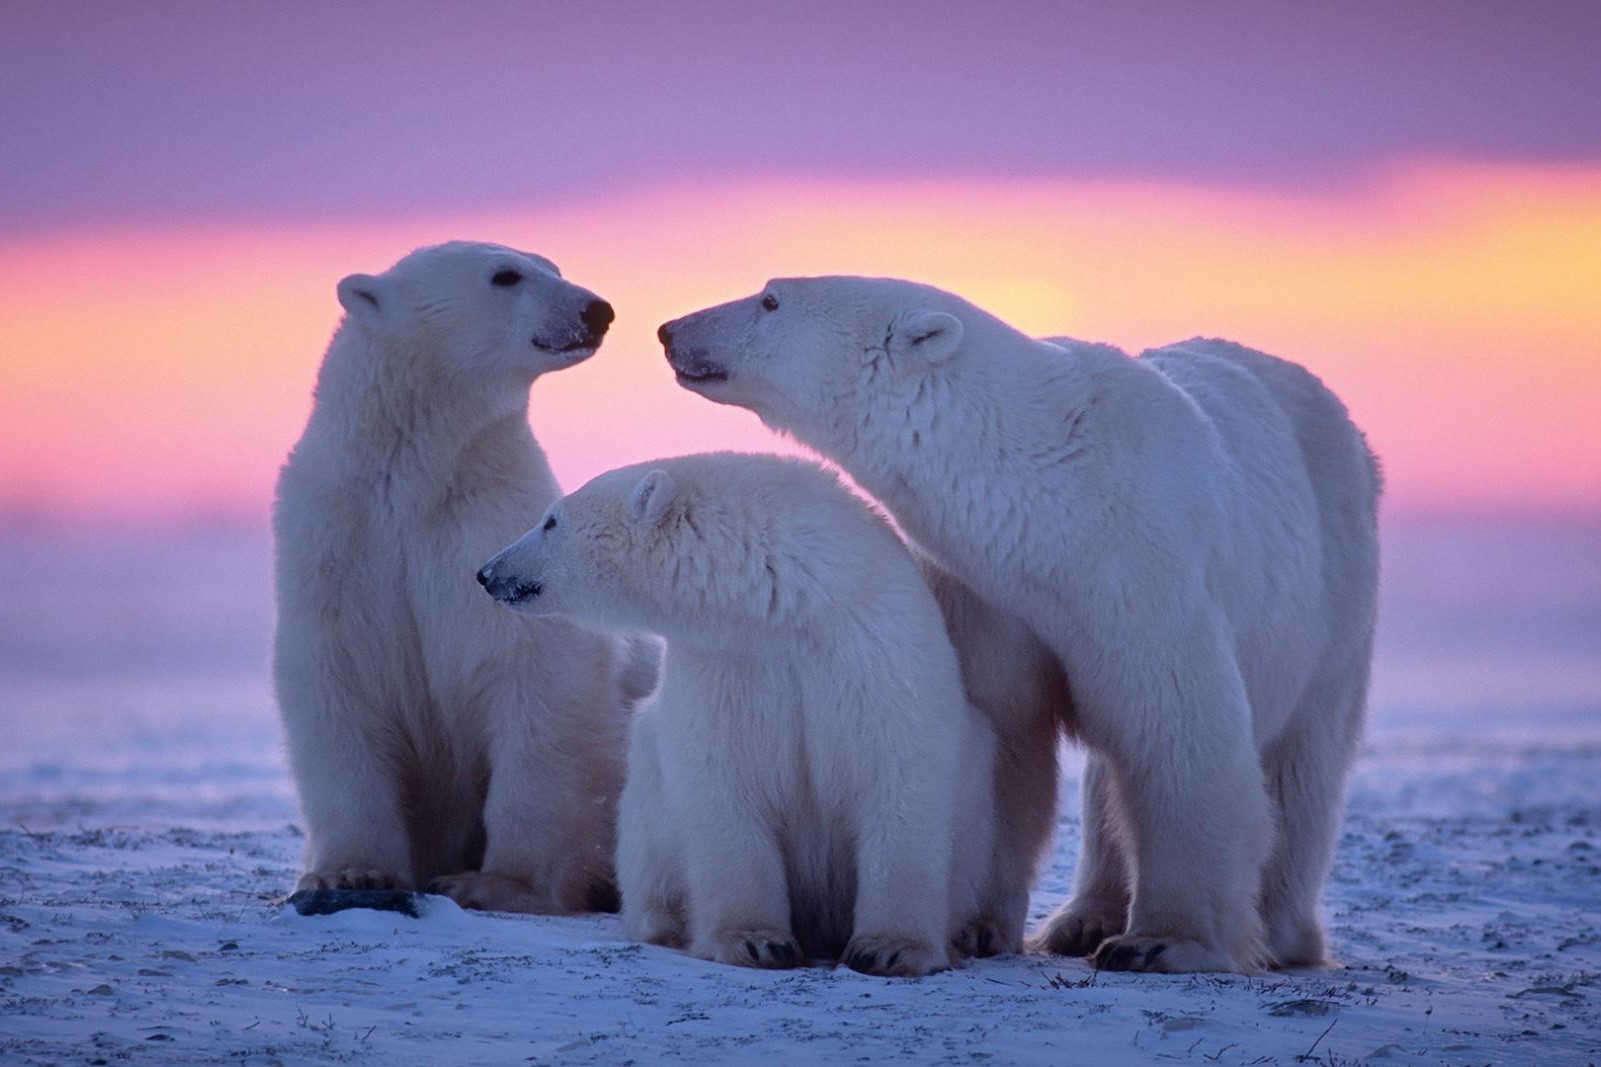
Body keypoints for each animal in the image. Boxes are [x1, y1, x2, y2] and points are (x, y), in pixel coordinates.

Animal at [272, 240, 654, 914]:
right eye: (506, 275)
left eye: (553, 267)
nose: (597, 309)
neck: (417, 479)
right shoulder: (339, 545)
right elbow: (337, 685)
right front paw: (350, 873)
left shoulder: (489, 534)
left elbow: (536, 681)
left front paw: (495, 882)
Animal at [476, 452, 1009, 976]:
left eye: (551, 520)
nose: (487, 572)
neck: (787, 602)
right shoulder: (727, 664)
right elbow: (725, 782)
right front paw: (756, 942)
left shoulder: (872, 646)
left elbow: (898, 775)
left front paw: (889, 949)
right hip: (647, 798)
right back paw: (667, 921)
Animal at [657, 277, 1382, 973]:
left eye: (769, 299)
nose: (670, 328)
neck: (1053, 502)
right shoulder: (987, 595)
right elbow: (1001, 737)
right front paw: (976, 926)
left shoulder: (1146, 575)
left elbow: (1178, 732)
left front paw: (1159, 943)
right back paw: (1079, 919)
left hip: (1334, 586)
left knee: (1302, 761)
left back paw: (1280, 932)